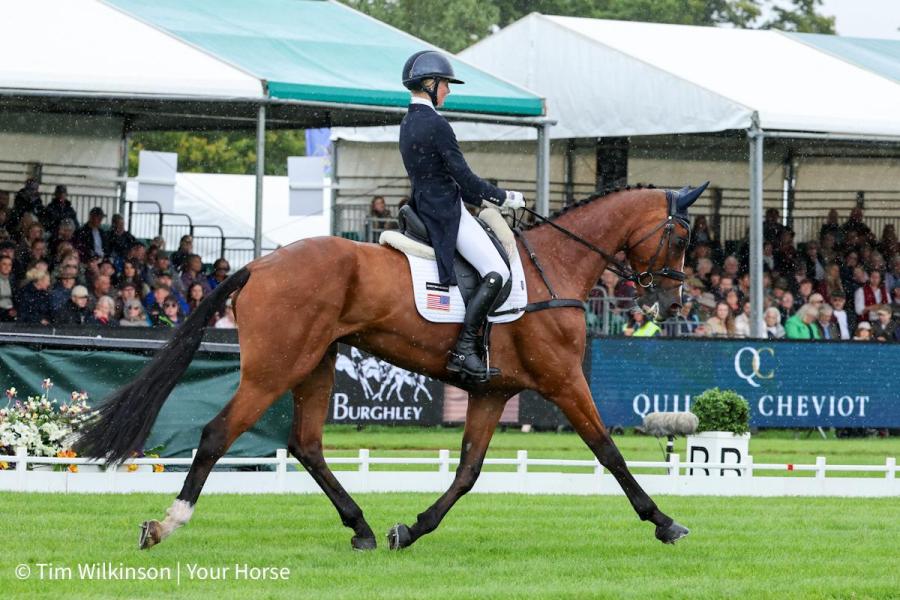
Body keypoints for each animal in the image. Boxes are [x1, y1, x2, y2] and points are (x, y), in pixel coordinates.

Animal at [76, 183, 702, 551]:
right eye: (680, 238)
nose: (672, 304)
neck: (555, 266)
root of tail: (260, 264)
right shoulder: (563, 380)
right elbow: (609, 452)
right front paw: (664, 522)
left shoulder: (493, 393)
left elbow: (467, 471)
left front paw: (412, 528)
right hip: (274, 370)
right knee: (216, 434)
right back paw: (165, 524)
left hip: (315, 364)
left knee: (306, 445)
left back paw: (363, 529)